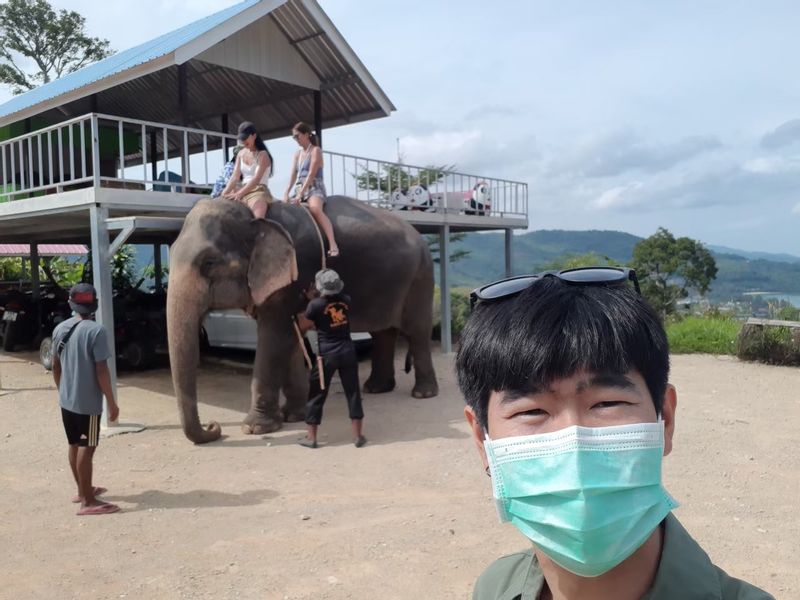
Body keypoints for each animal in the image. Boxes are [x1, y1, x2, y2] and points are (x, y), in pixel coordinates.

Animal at [167, 195, 438, 442]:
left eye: (209, 262)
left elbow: (274, 337)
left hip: (421, 277)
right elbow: (291, 337)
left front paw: (255, 428)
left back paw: (423, 394)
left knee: (417, 332)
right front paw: (294, 416)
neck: (256, 220)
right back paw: (376, 389)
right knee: (383, 332)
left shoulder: (295, 272)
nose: (214, 427)